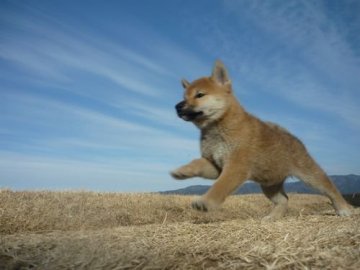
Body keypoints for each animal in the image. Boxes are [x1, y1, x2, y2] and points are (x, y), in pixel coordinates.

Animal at [171, 60, 352, 220]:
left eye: (200, 95)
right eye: (184, 96)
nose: (177, 106)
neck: (217, 127)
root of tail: (295, 139)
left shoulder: (236, 167)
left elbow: (220, 187)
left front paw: (206, 202)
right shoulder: (216, 164)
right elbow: (198, 164)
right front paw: (182, 171)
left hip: (310, 175)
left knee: (330, 188)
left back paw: (343, 209)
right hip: (269, 184)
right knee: (284, 199)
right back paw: (273, 217)